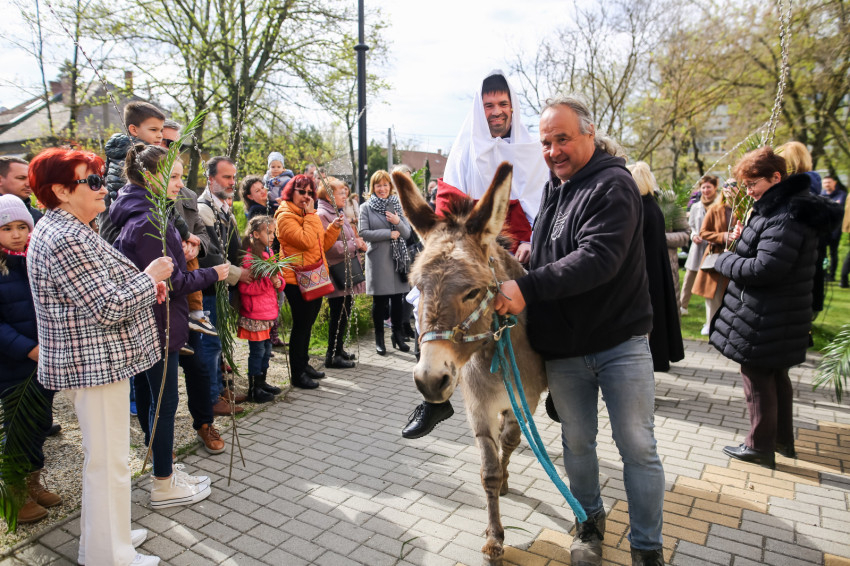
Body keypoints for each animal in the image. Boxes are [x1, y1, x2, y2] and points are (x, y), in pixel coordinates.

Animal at [393, 163, 548, 563]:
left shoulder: (525, 399)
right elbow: (488, 469)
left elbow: (510, 440)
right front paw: (495, 537)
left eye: (473, 291)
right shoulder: (477, 405)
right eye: (417, 287)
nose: (430, 380)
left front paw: (505, 484)